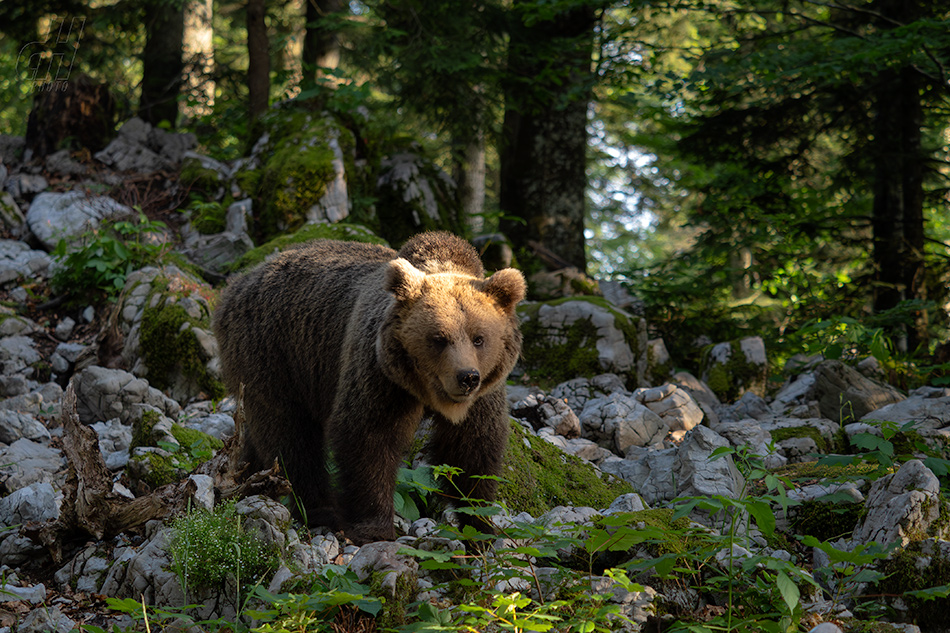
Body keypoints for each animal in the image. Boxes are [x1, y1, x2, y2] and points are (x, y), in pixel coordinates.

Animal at [212, 230, 528, 540]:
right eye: (439, 338)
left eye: (479, 338)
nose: (467, 377)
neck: (427, 392)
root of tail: (241, 279)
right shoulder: (380, 376)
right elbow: (367, 437)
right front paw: (374, 527)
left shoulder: (483, 396)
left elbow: (473, 449)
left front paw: (480, 524)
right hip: (275, 352)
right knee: (290, 433)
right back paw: (319, 509)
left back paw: (250, 478)